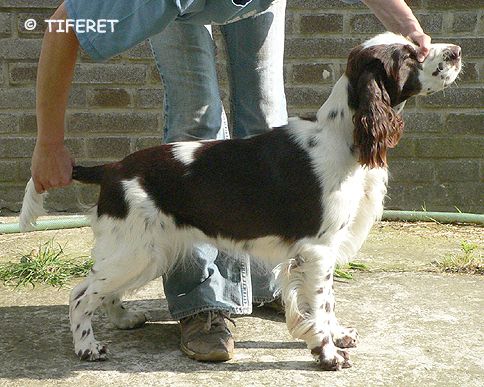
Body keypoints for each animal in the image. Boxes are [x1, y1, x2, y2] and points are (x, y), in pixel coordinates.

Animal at [19, 32, 462, 370]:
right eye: (409, 55)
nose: (457, 51)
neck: (343, 136)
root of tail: (112, 168)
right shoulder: (317, 250)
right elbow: (319, 306)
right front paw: (328, 355)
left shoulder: (321, 250)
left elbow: (327, 303)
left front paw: (337, 336)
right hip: (135, 250)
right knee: (80, 295)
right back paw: (87, 347)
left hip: (146, 252)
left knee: (103, 291)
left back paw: (126, 319)